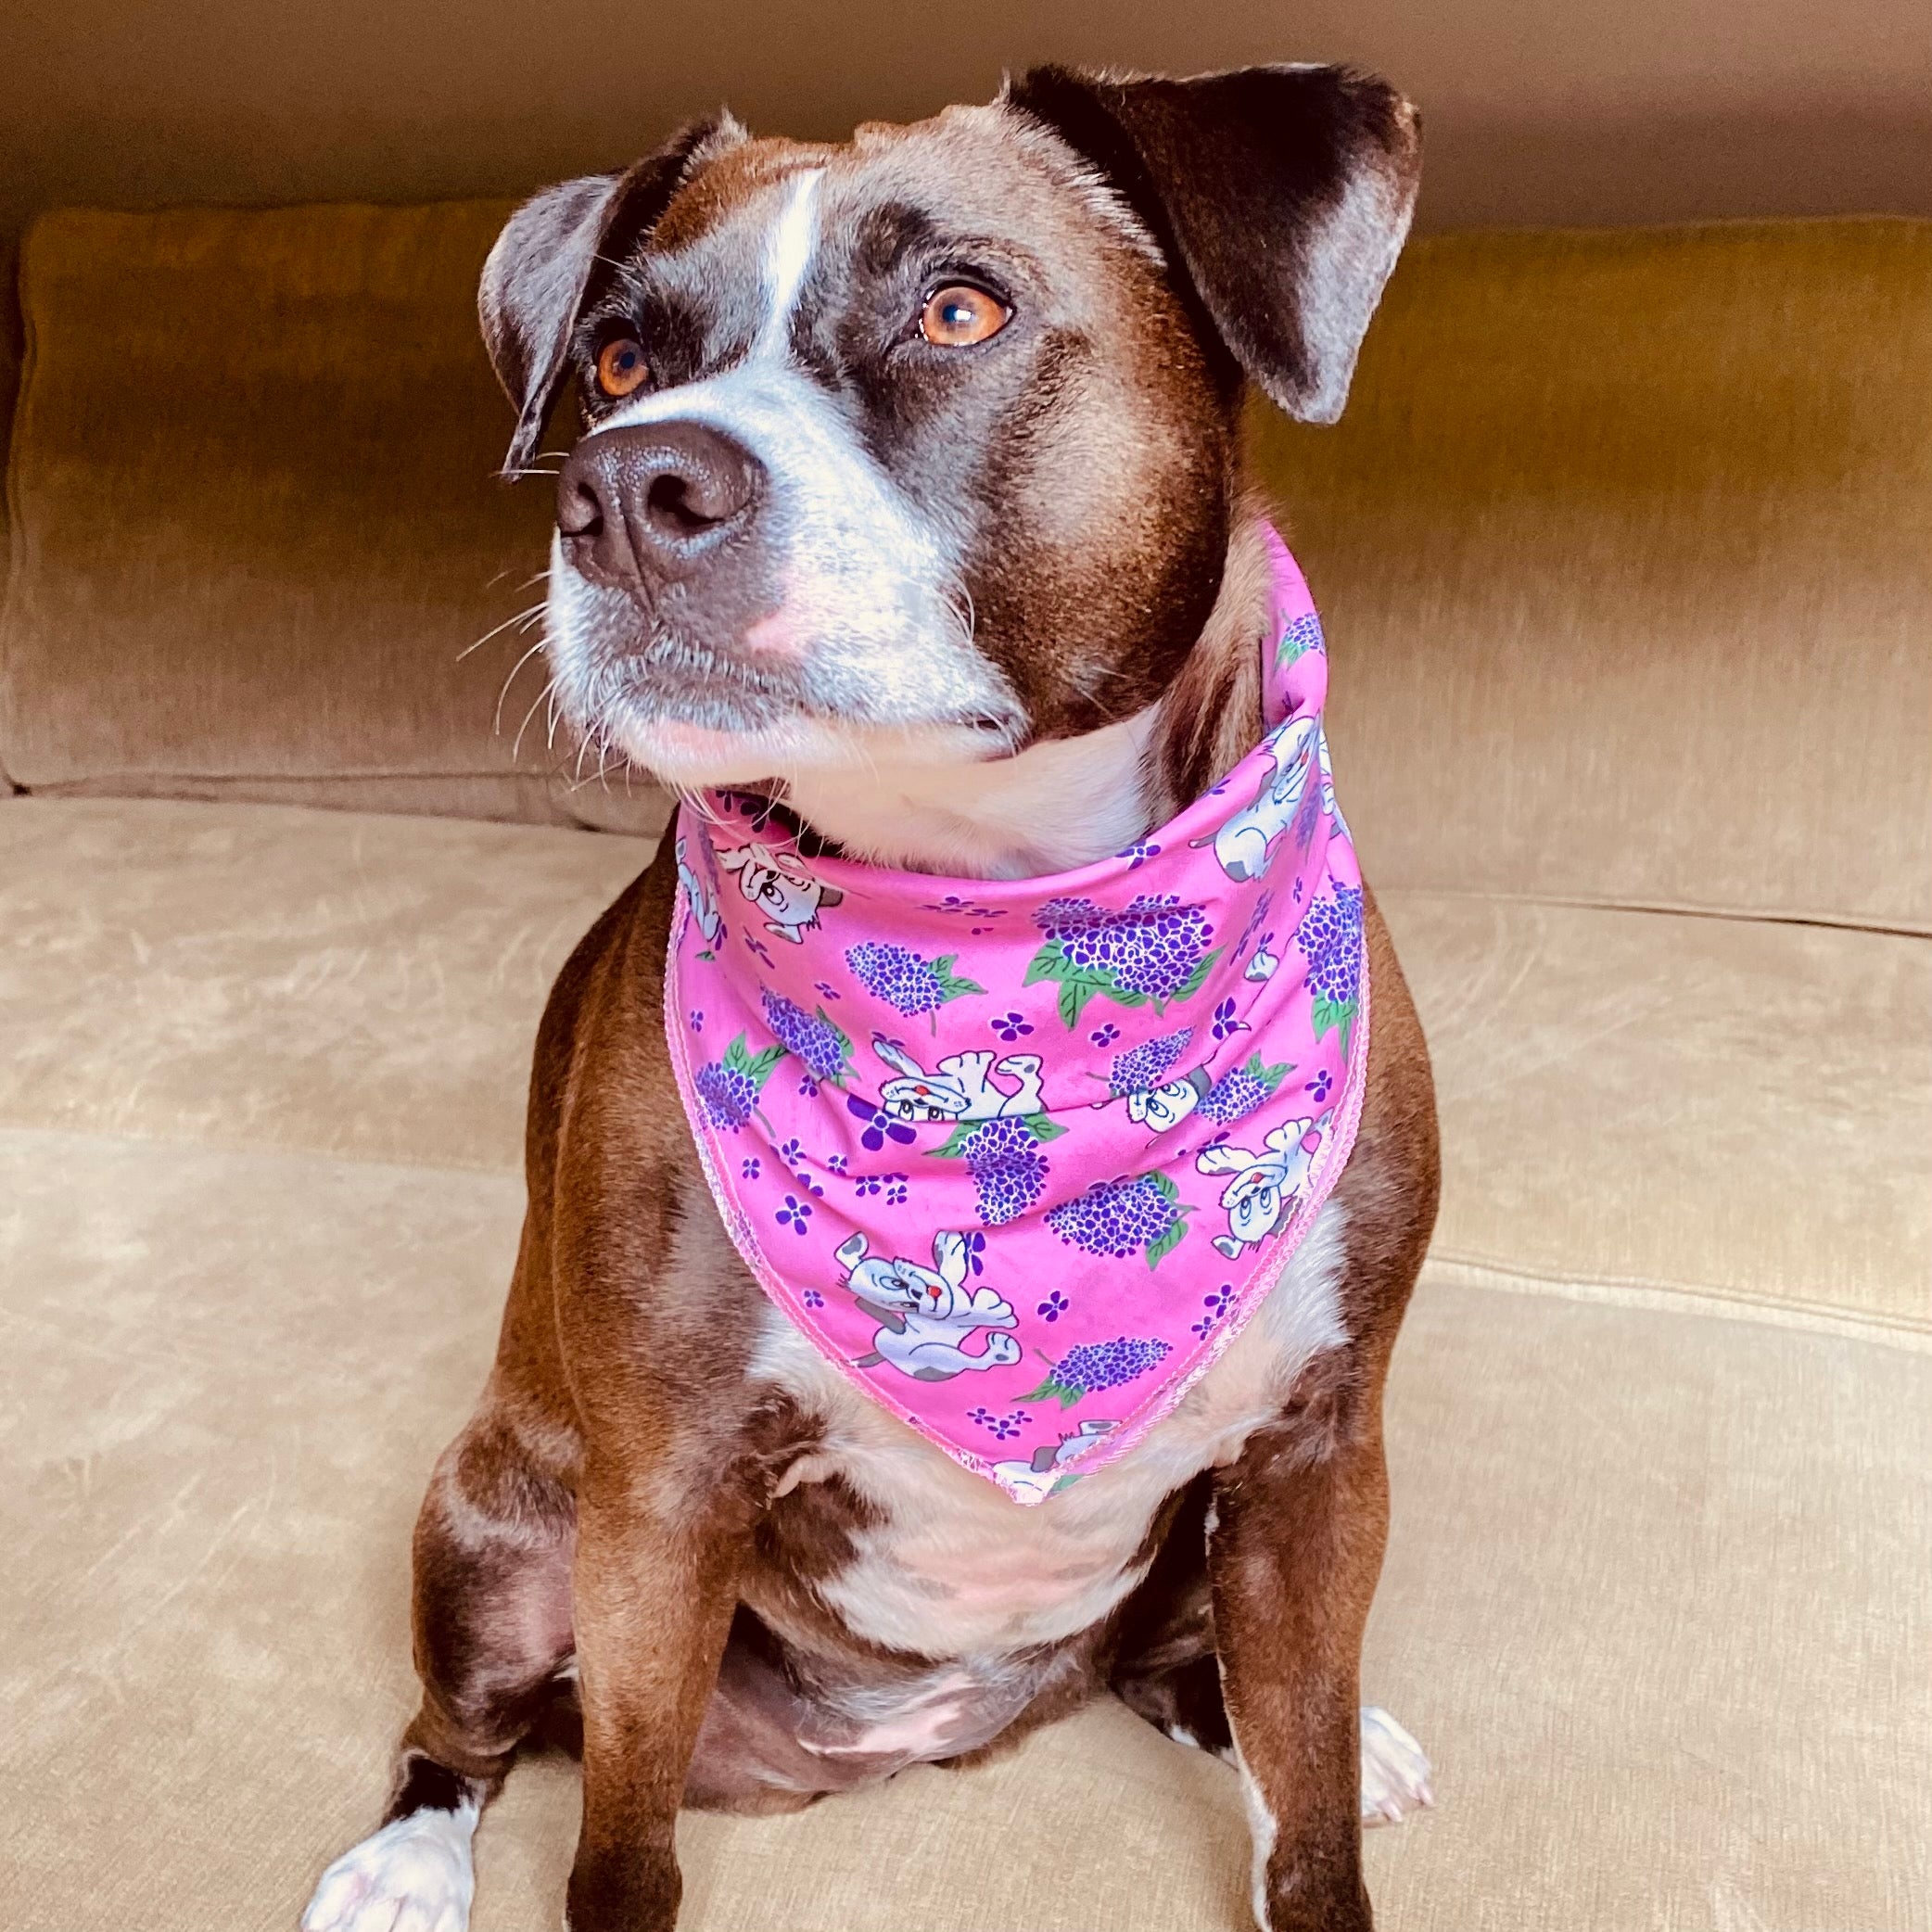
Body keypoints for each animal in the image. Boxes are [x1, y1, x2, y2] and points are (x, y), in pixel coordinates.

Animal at [305, 60, 1437, 1932]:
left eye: (958, 310)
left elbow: (1314, 1815)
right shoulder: (660, 1504)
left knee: (1193, 1673)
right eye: (617, 359)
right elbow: (617, 1850)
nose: (625, 486)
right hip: (499, 1521)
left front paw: (1325, 1781)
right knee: (463, 1726)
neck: (1000, 939)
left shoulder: (1315, 1459)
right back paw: (404, 1857)